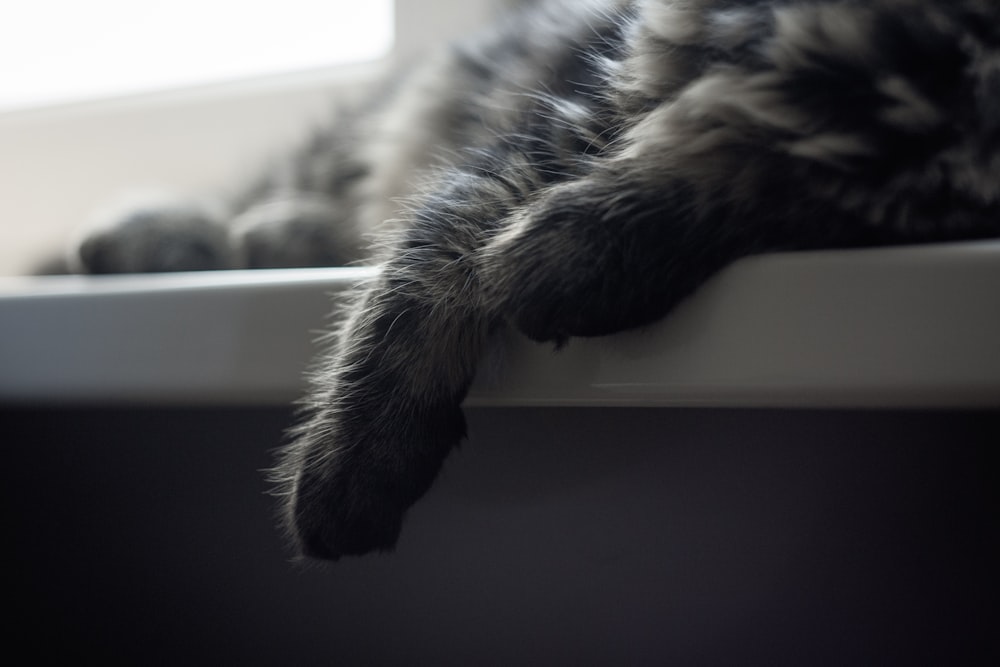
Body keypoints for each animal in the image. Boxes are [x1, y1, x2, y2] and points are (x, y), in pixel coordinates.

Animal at [72, 0, 1000, 560]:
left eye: (856, 216)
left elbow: (696, 190)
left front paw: (562, 258)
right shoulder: (563, 116)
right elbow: (425, 262)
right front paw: (355, 458)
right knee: (281, 194)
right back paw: (149, 240)